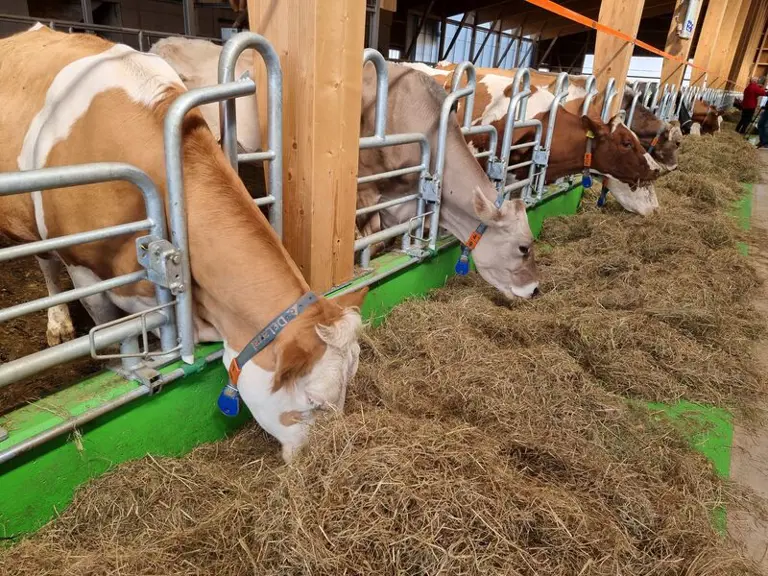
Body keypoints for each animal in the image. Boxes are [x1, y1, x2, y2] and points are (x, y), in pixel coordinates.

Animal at [0, 25, 367, 463]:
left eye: (350, 383)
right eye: (312, 401)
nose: (318, 461)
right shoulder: (84, 267)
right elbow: (110, 328)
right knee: (45, 263)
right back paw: (58, 323)